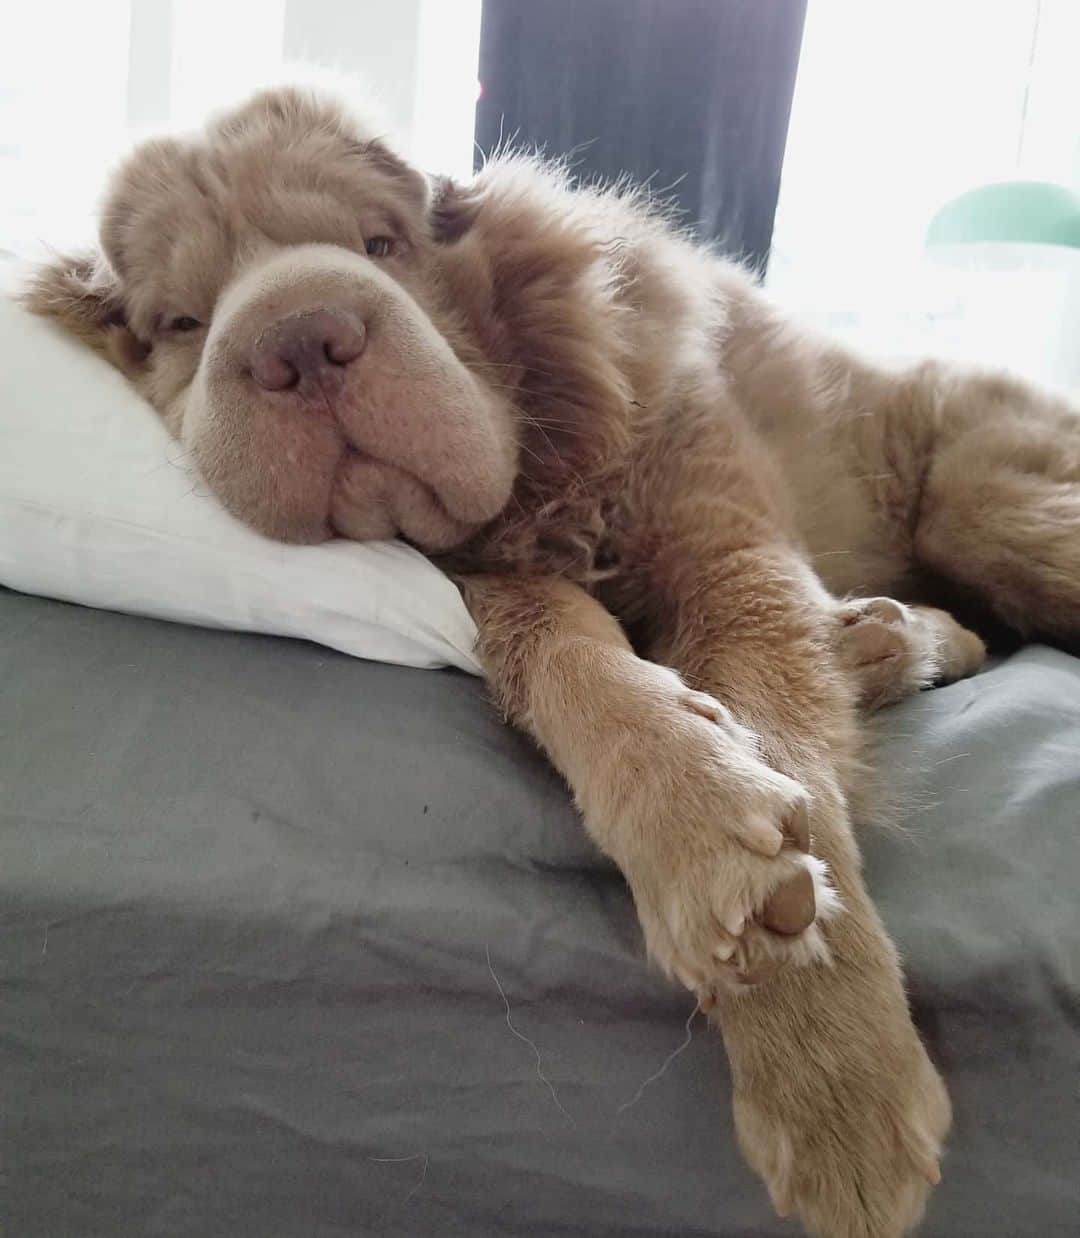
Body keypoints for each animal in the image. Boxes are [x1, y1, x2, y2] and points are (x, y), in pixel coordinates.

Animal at [27, 84, 1080, 1228]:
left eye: (381, 244)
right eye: (179, 320)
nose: (303, 337)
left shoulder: (725, 549)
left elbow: (782, 741)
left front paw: (835, 1081)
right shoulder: (487, 580)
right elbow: (573, 658)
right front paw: (704, 828)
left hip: (986, 499)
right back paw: (882, 639)